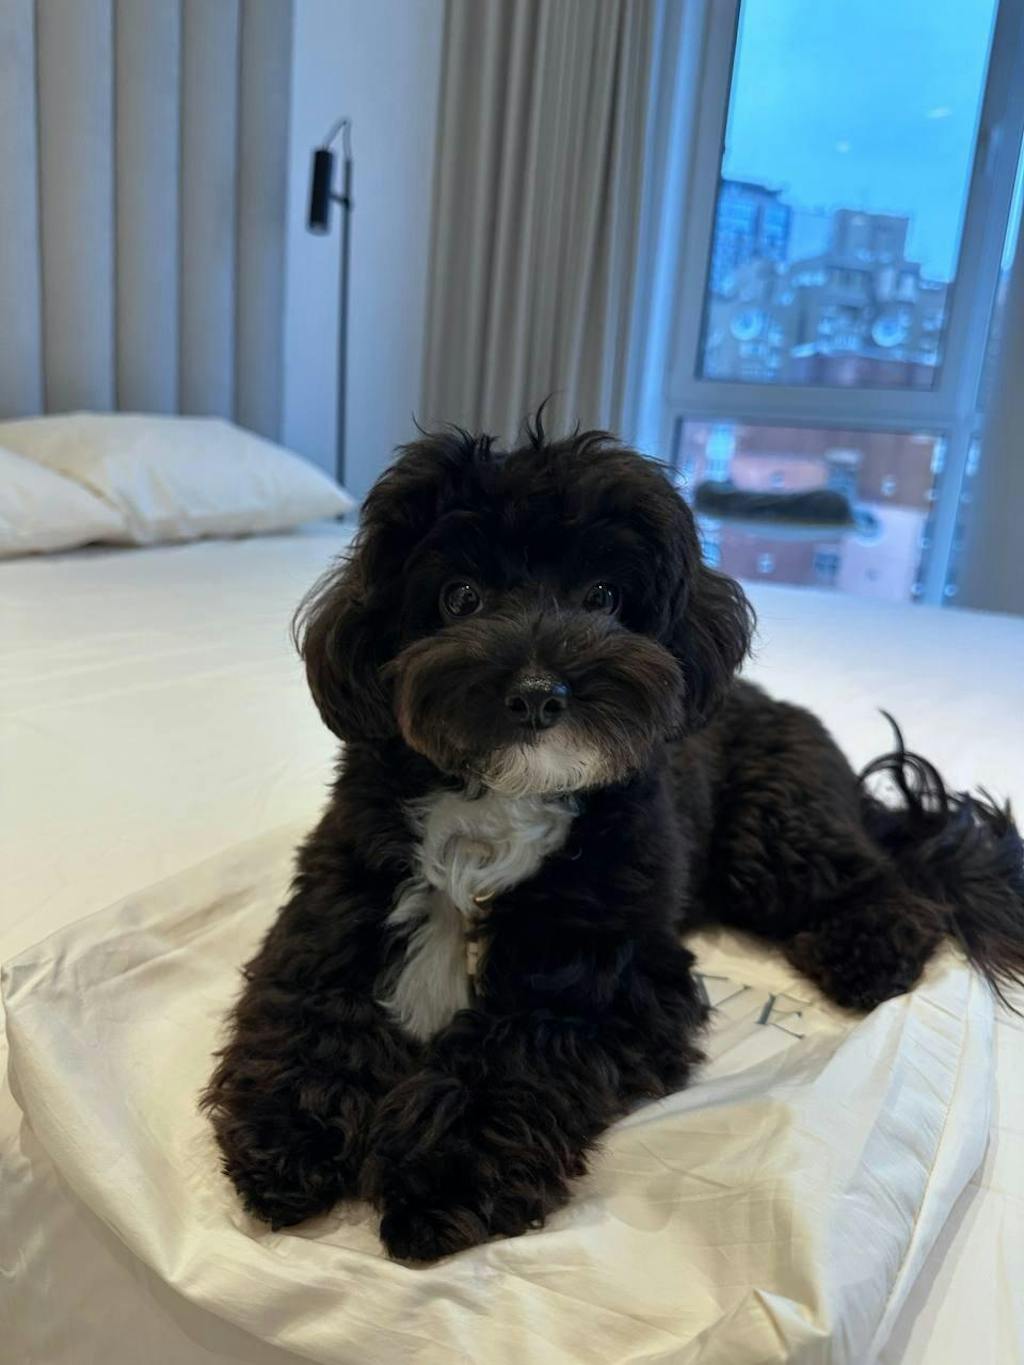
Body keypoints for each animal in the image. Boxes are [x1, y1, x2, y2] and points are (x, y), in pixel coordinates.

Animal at [203, 423, 1024, 1263]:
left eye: (603, 595)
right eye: (459, 595)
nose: (539, 693)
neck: (507, 792)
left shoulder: (606, 972)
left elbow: (515, 1051)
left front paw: (441, 1174)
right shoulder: (341, 903)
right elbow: (313, 1010)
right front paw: (290, 1131)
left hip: (774, 826)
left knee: (875, 879)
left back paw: (870, 948)